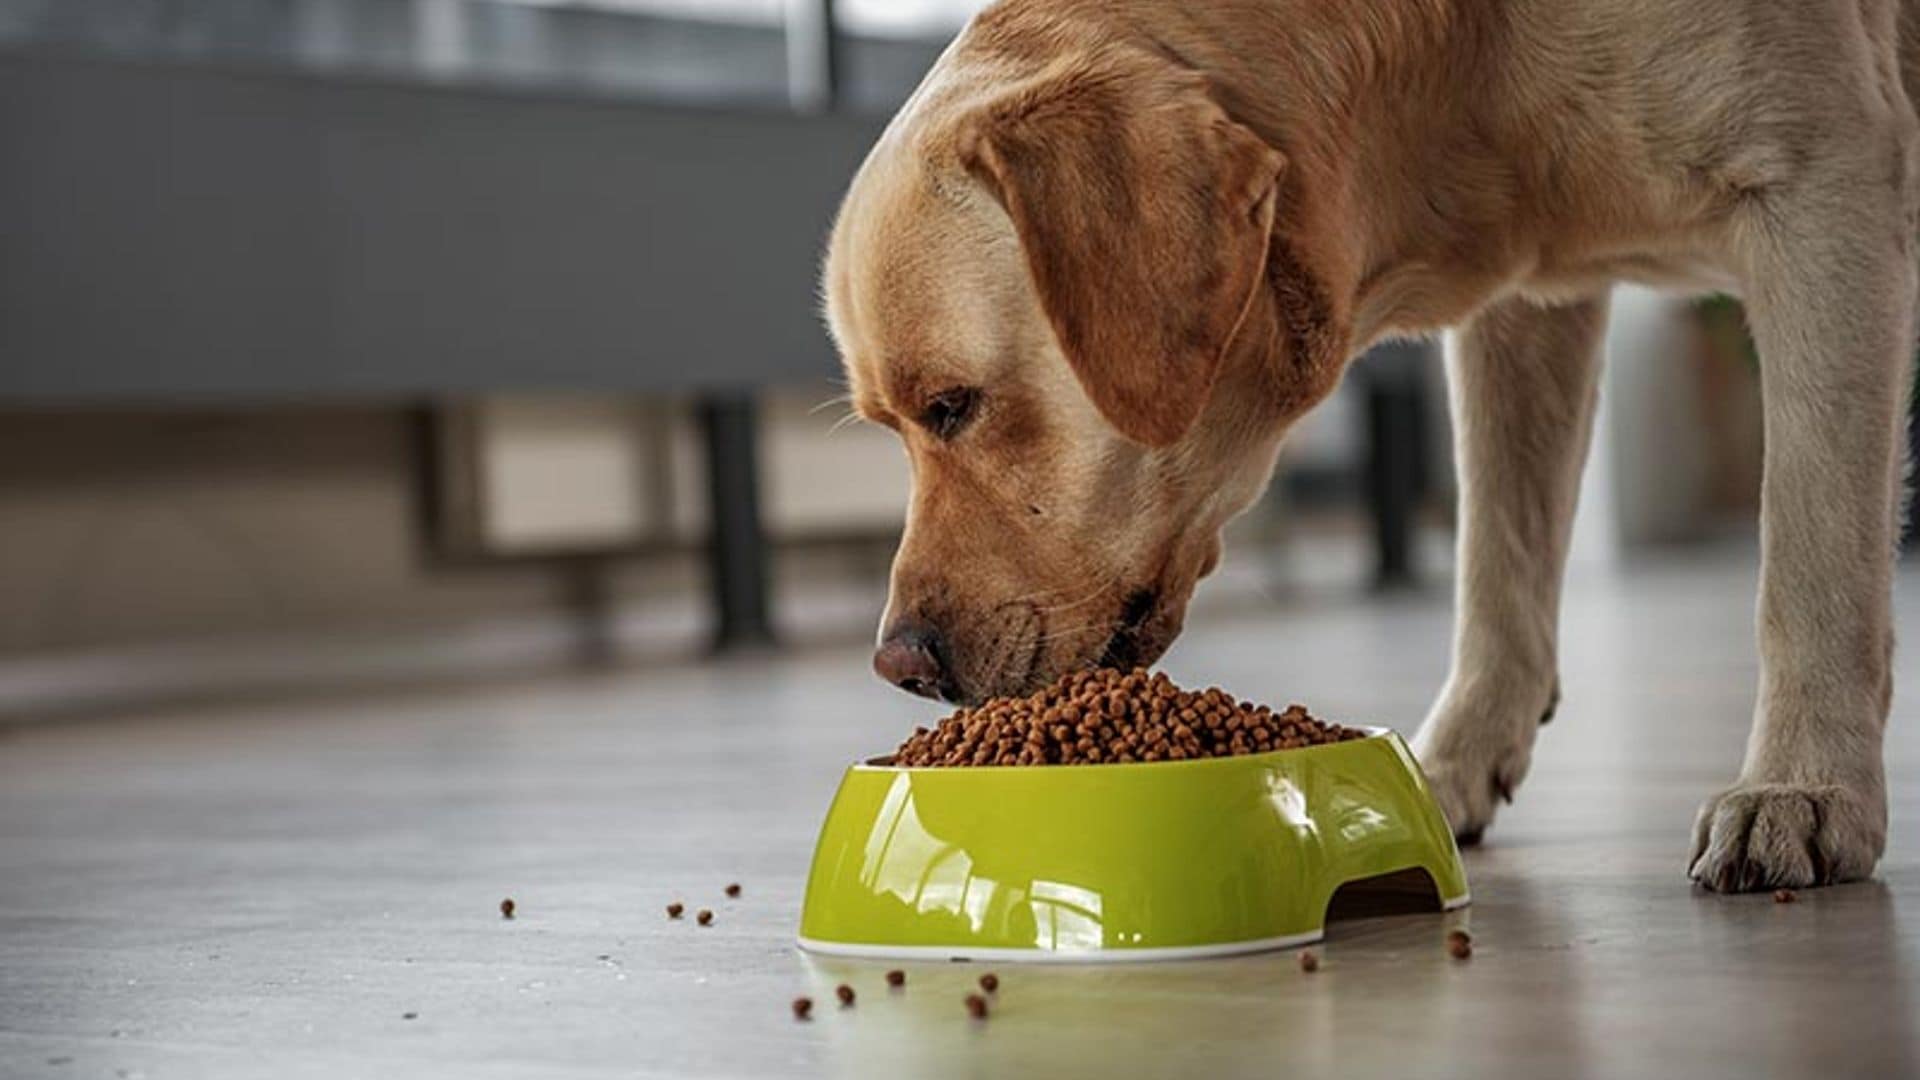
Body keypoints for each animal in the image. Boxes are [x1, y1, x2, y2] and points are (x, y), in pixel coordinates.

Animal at [817, 0, 1912, 891]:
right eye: (890, 425)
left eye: (952, 405)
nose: (899, 664)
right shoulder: (1530, 304)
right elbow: (1497, 567)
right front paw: (1450, 767)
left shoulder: (1826, 198)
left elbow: (1809, 558)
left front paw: (1804, 786)